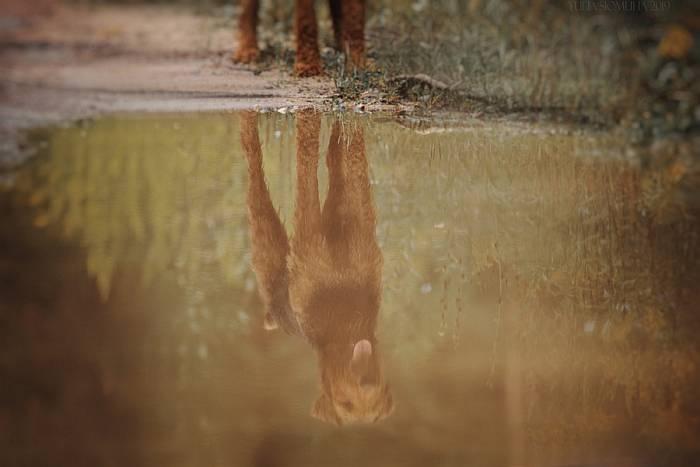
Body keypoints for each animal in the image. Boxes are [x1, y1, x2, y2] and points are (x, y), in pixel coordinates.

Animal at [235, 0, 366, 77]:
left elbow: (354, 20)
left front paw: (357, 63)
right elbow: (306, 20)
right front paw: (308, 65)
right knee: (246, 10)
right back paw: (247, 50)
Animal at [241, 111, 394, 426]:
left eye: (374, 412)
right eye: (345, 404)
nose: (367, 383)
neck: (347, 323)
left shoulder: (358, 226)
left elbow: (354, 162)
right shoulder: (308, 245)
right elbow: (307, 161)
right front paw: (309, 122)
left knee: (335, 157)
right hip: (266, 245)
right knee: (254, 169)